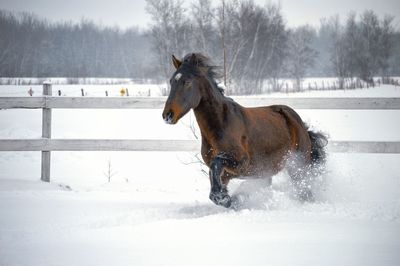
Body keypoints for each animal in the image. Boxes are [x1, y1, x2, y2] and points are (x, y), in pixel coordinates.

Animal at [162, 53, 328, 208]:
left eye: (187, 82)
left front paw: (227, 198)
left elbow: (216, 164)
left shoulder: (241, 163)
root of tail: (300, 123)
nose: (167, 115)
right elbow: (214, 181)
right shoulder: (227, 174)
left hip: (298, 167)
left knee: (304, 191)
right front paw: (230, 199)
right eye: (171, 81)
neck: (221, 124)